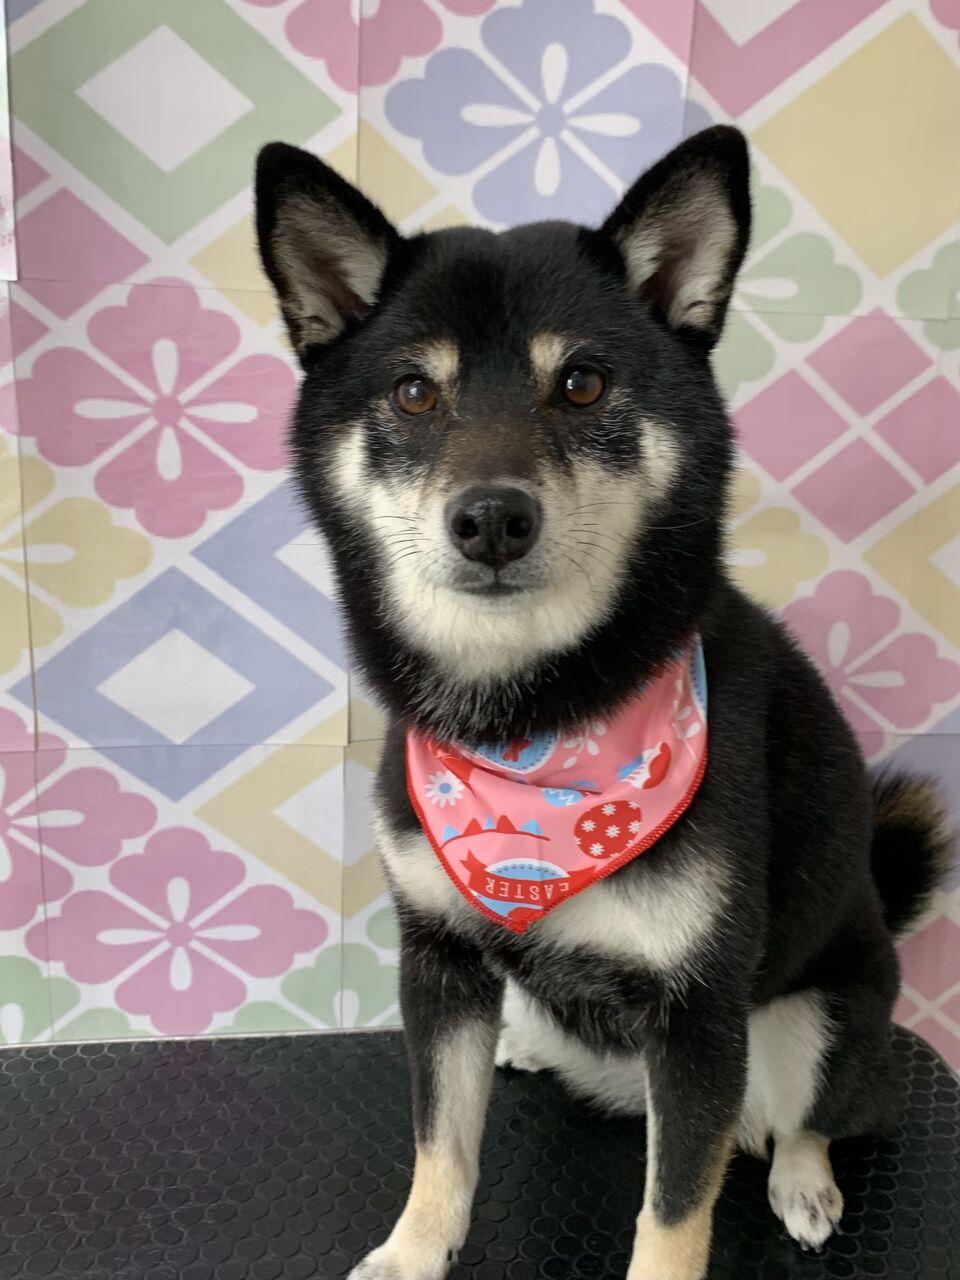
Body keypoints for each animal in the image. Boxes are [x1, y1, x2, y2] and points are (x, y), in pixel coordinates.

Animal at [254, 125, 951, 1280]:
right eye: (413, 392)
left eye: (580, 383)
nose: (491, 517)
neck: (529, 726)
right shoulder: (439, 959)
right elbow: (441, 1139)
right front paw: (412, 1250)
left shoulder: (699, 1015)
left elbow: (673, 1212)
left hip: (820, 1019)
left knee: (811, 1116)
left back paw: (803, 1179)